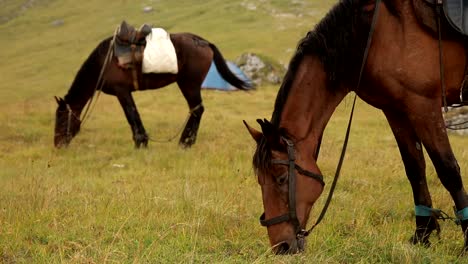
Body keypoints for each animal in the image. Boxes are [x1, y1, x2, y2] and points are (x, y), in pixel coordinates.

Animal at [54, 31, 252, 148]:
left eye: (62, 118)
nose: (57, 144)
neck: (105, 61)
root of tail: (203, 42)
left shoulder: (121, 91)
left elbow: (131, 115)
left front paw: (140, 142)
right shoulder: (125, 92)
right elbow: (134, 114)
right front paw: (142, 141)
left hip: (189, 84)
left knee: (197, 109)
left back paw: (185, 142)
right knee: (196, 109)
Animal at [245, 0, 468, 255]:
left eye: (281, 179)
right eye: (260, 180)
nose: (281, 246)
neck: (376, 33)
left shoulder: (424, 106)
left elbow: (448, 170)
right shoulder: (396, 110)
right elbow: (415, 170)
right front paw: (422, 235)